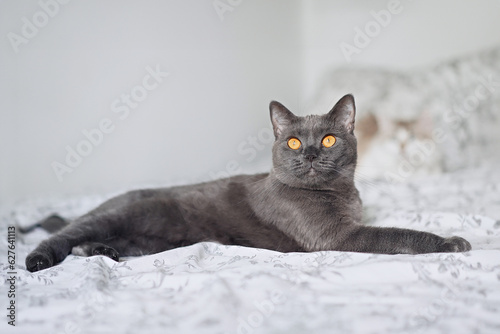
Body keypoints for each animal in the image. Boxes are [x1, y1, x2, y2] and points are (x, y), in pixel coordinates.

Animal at [25, 94, 470, 272]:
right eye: (294, 141)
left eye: (328, 139)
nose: (311, 153)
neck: (340, 194)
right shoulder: (335, 237)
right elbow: (399, 234)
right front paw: (451, 243)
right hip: (127, 212)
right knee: (64, 232)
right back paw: (40, 259)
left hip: (149, 240)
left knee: (89, 241)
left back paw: (100, 252)